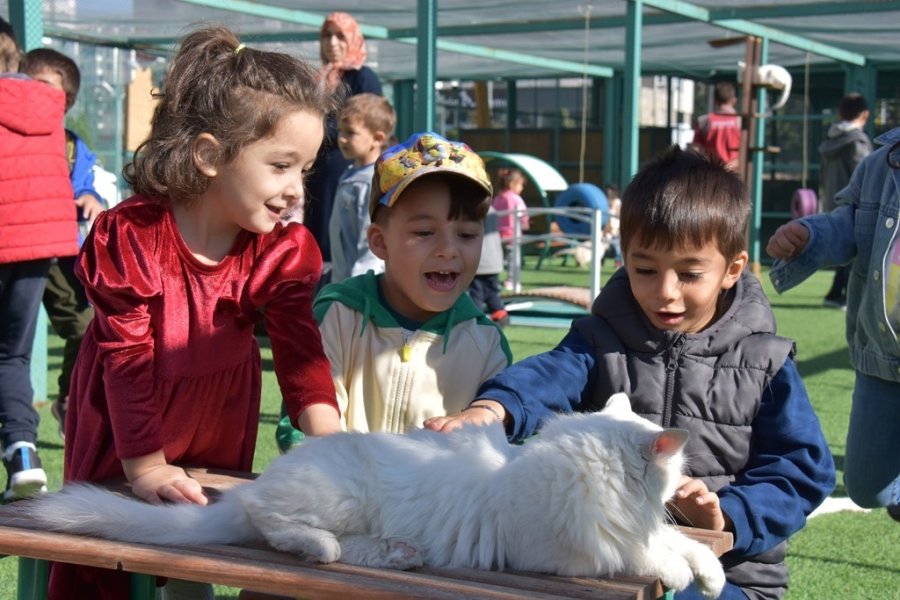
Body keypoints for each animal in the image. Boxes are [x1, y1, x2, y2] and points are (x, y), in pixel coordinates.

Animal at [22, 396, 724, 596]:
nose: (685, 487)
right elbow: (647, 554)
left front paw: (709, 571)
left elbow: (679, 541)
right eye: (672, 474)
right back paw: (330, 548)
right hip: (334, 497)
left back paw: (401, 554)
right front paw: (685, 575)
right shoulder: (575, 555)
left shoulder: (637, 527)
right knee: (277, 525)